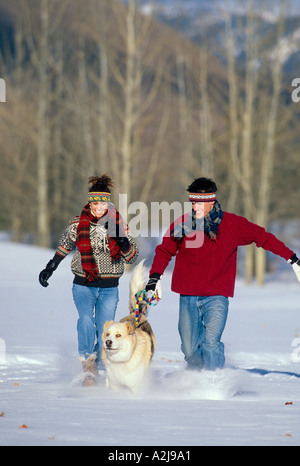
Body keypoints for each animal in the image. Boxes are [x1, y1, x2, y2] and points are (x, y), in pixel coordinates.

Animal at [101, 260, 158, 396]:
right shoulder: (115, 385)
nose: (108, 342)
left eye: (118, 335)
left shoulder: (136, 386)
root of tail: (135, 314)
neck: (121, 360)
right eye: (107, 334)